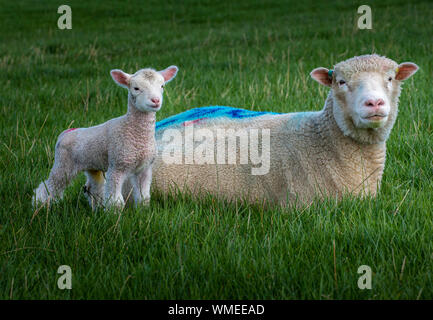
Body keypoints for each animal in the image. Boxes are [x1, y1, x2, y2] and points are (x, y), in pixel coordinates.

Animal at [31, 65, 177, 210]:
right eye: (136, 88)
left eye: (162, 86)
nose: (156, 100)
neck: (135, 132)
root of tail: (66, 132)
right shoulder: (117, 165)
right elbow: (115, 200)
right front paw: (114, 214)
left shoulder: (144, 169)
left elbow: (143, 197)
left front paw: (142, 210)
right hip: (63, 163)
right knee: (49, 186)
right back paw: (39, 205)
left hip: (91, 164)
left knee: (92, 187)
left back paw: (96, 208)